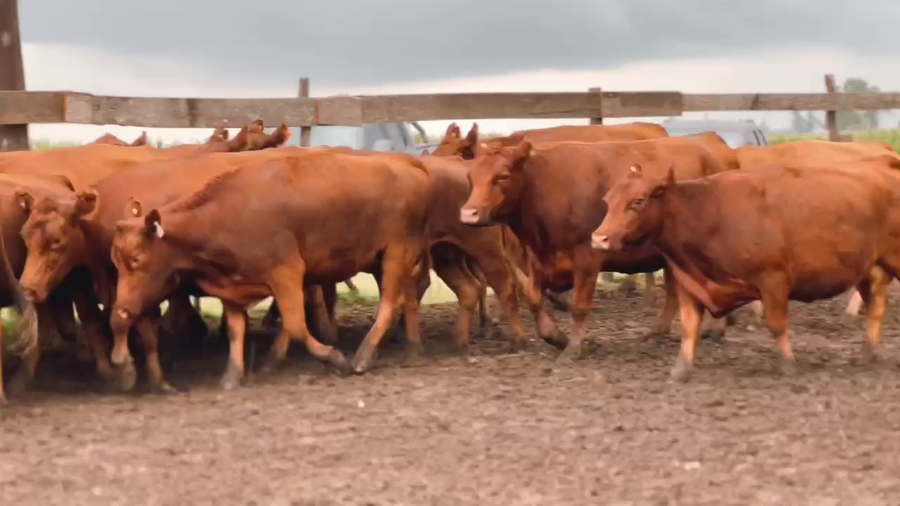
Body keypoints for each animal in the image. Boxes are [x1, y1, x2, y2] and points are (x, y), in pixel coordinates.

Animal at [109, 150, 432, 388]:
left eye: (136, 258)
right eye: (116, 262)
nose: (120, 312)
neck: (221, 217)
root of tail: (411, 167)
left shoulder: (286, 273)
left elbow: (296, 324)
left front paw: (334, 357)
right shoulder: (231, 288)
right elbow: (236, 331)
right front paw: (232, 375)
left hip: (396, 253)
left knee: (389, 303)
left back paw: (362, 357)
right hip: (383, 259)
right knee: (404, 297)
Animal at [460, 137, 738, 361]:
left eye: (503, 176)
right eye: (471, 177)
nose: (468, 213)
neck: (549, 189)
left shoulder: (588, 258)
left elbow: (579, 306)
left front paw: (573, 348)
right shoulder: (537, 259)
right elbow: (533, 298)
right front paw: (555, 336)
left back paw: (715, 329)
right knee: (673, 290)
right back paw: (657, 332)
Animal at [592, 162, 900, 381]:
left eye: (638, 201)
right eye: (608, 200)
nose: (599, 238)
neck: (706, 215)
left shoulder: (772, 279)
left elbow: (776, 324)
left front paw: (788, 365)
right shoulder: (688, 282)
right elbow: (689, 326)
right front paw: (680, 370)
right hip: (869, 268)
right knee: (876, 305)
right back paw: (866, 354)